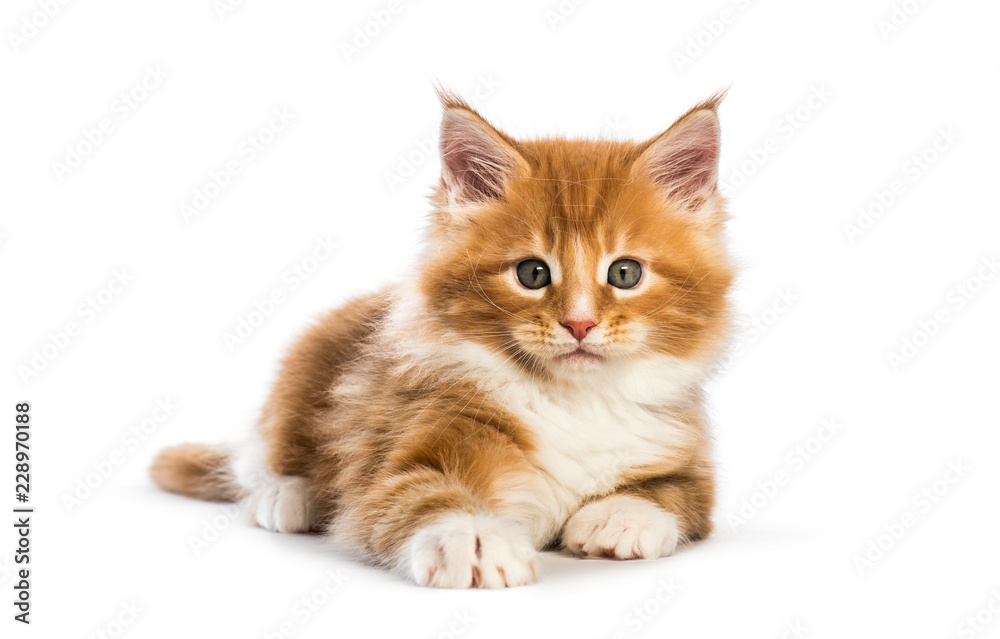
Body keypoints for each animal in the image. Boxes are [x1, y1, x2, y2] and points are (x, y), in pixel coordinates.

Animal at [150, 91, 736, 592]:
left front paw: (620, 517)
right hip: (300, 376)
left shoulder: (688, 460)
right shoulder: (400, 453)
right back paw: (289, 495)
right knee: (255, 460)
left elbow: (677, 494)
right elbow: (422, 495)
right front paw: (473, 538)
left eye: (624, 273)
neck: (574, 401)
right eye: (531, 273)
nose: (579, 325)